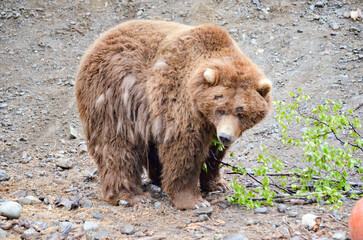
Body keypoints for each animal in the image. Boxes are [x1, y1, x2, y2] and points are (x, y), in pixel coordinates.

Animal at [74, 19, 272, 209]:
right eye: (221, 109)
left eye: (241, 113)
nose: (225, 136)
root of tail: (93, 46)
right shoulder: (178, 99)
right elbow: (184, 148)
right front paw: (194, 200)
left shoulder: (210, 124)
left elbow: (214, 152)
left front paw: (217, 184)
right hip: (114, 95)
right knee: (117, 147)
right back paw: (131, 195)